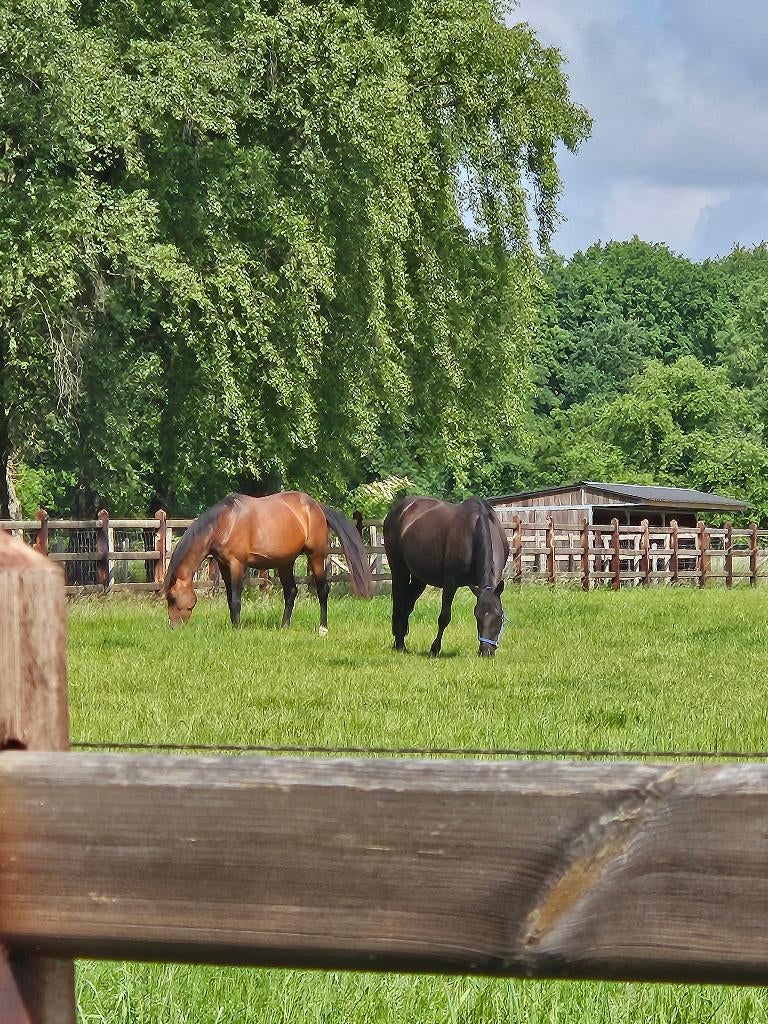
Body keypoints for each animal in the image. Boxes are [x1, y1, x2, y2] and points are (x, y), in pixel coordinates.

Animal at [164, 492, 372, 630]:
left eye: (172, 597)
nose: (173, 627)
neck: (223, 523)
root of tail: (316, 507)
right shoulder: (223, 565)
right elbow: (230, 598)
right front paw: (234, 625)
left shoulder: (237, 564)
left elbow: (236, 598)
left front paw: (237, 629)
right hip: (286, 563)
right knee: (291, 592)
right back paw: (284, 626)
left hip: (316, 556)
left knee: (322, 590)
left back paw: (323, 627)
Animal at [383, 496, 509, 657]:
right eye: (477, 615)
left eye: (499, 616)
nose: (486, 652)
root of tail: (398, 509)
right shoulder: (450, 582)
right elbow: (444, 617)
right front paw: (434, 649)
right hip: (399, 569)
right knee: (399, 601)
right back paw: (400, 645)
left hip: (419, 578)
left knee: (407, 605)